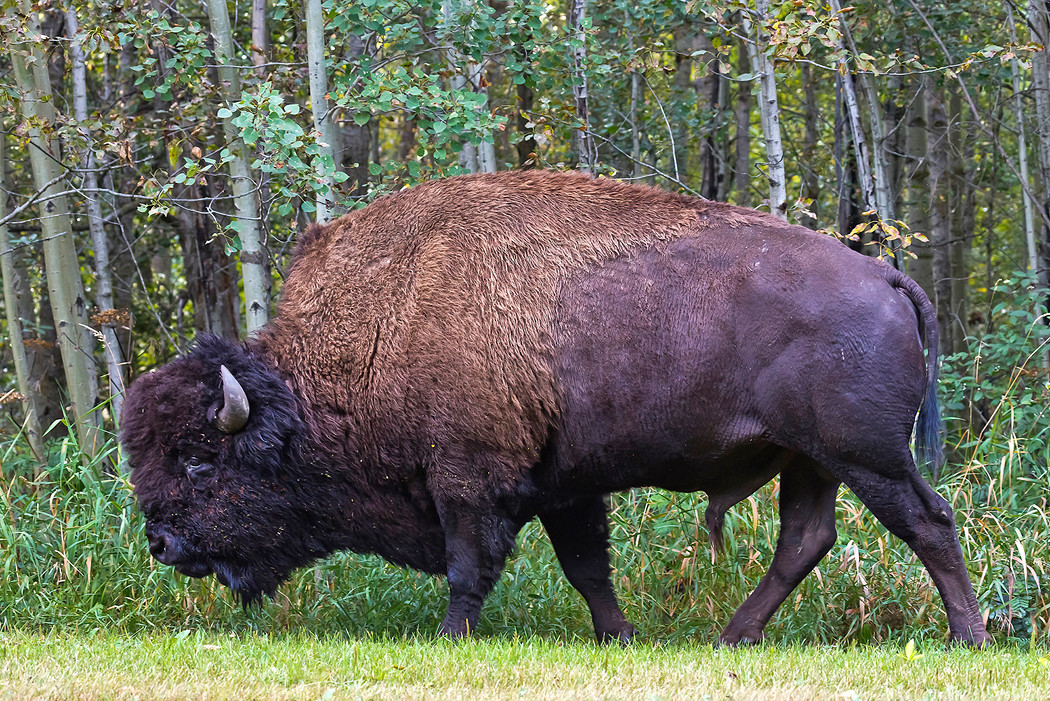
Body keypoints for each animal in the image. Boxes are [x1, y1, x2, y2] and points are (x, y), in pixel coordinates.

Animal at [122, 170, 991, 646]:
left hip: (865, 455)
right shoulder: (565, 485)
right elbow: (585, 565)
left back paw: (965, 638)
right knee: (805, 538)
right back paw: (731, 638)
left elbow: (470, 564)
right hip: (810, 461)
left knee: (926, 521)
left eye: (200, 460)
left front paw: (450, 637)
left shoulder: (469, 478)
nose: (161, 542)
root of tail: (883, 275)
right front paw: (621, 636)